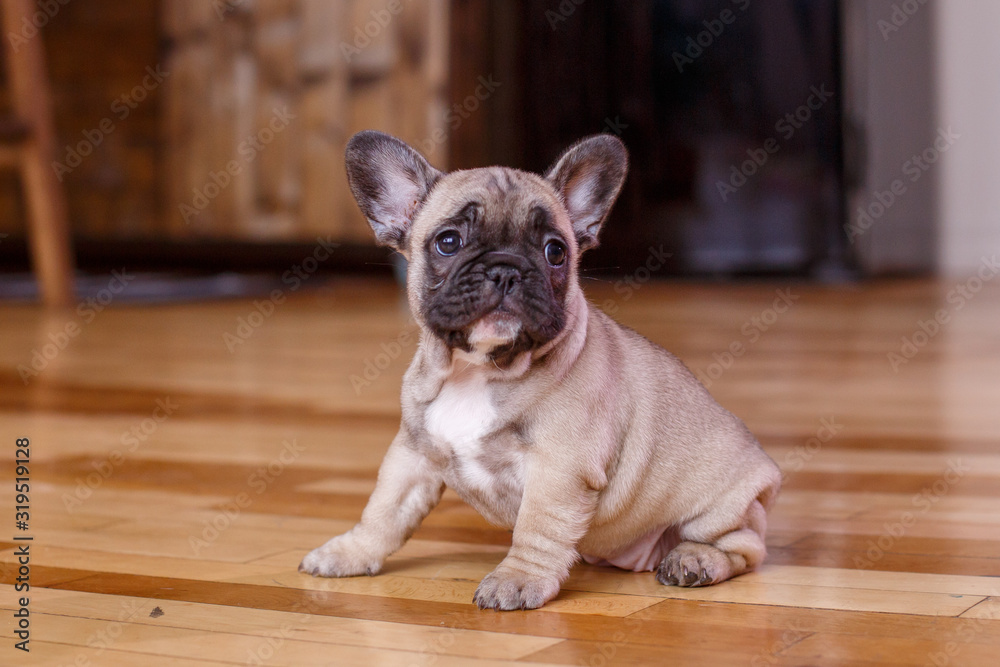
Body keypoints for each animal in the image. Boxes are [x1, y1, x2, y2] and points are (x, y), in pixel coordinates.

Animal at [300, 130, 784, 612]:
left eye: (556, 251)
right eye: (448, 242)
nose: (506, 269)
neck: (476, 371)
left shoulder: (558, 468)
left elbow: (535, 529)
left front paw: (517, 579)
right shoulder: (413, 455)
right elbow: (382, 510)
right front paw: (349, 552)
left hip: (720, 506)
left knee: (744, 546)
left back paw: (695, 561)